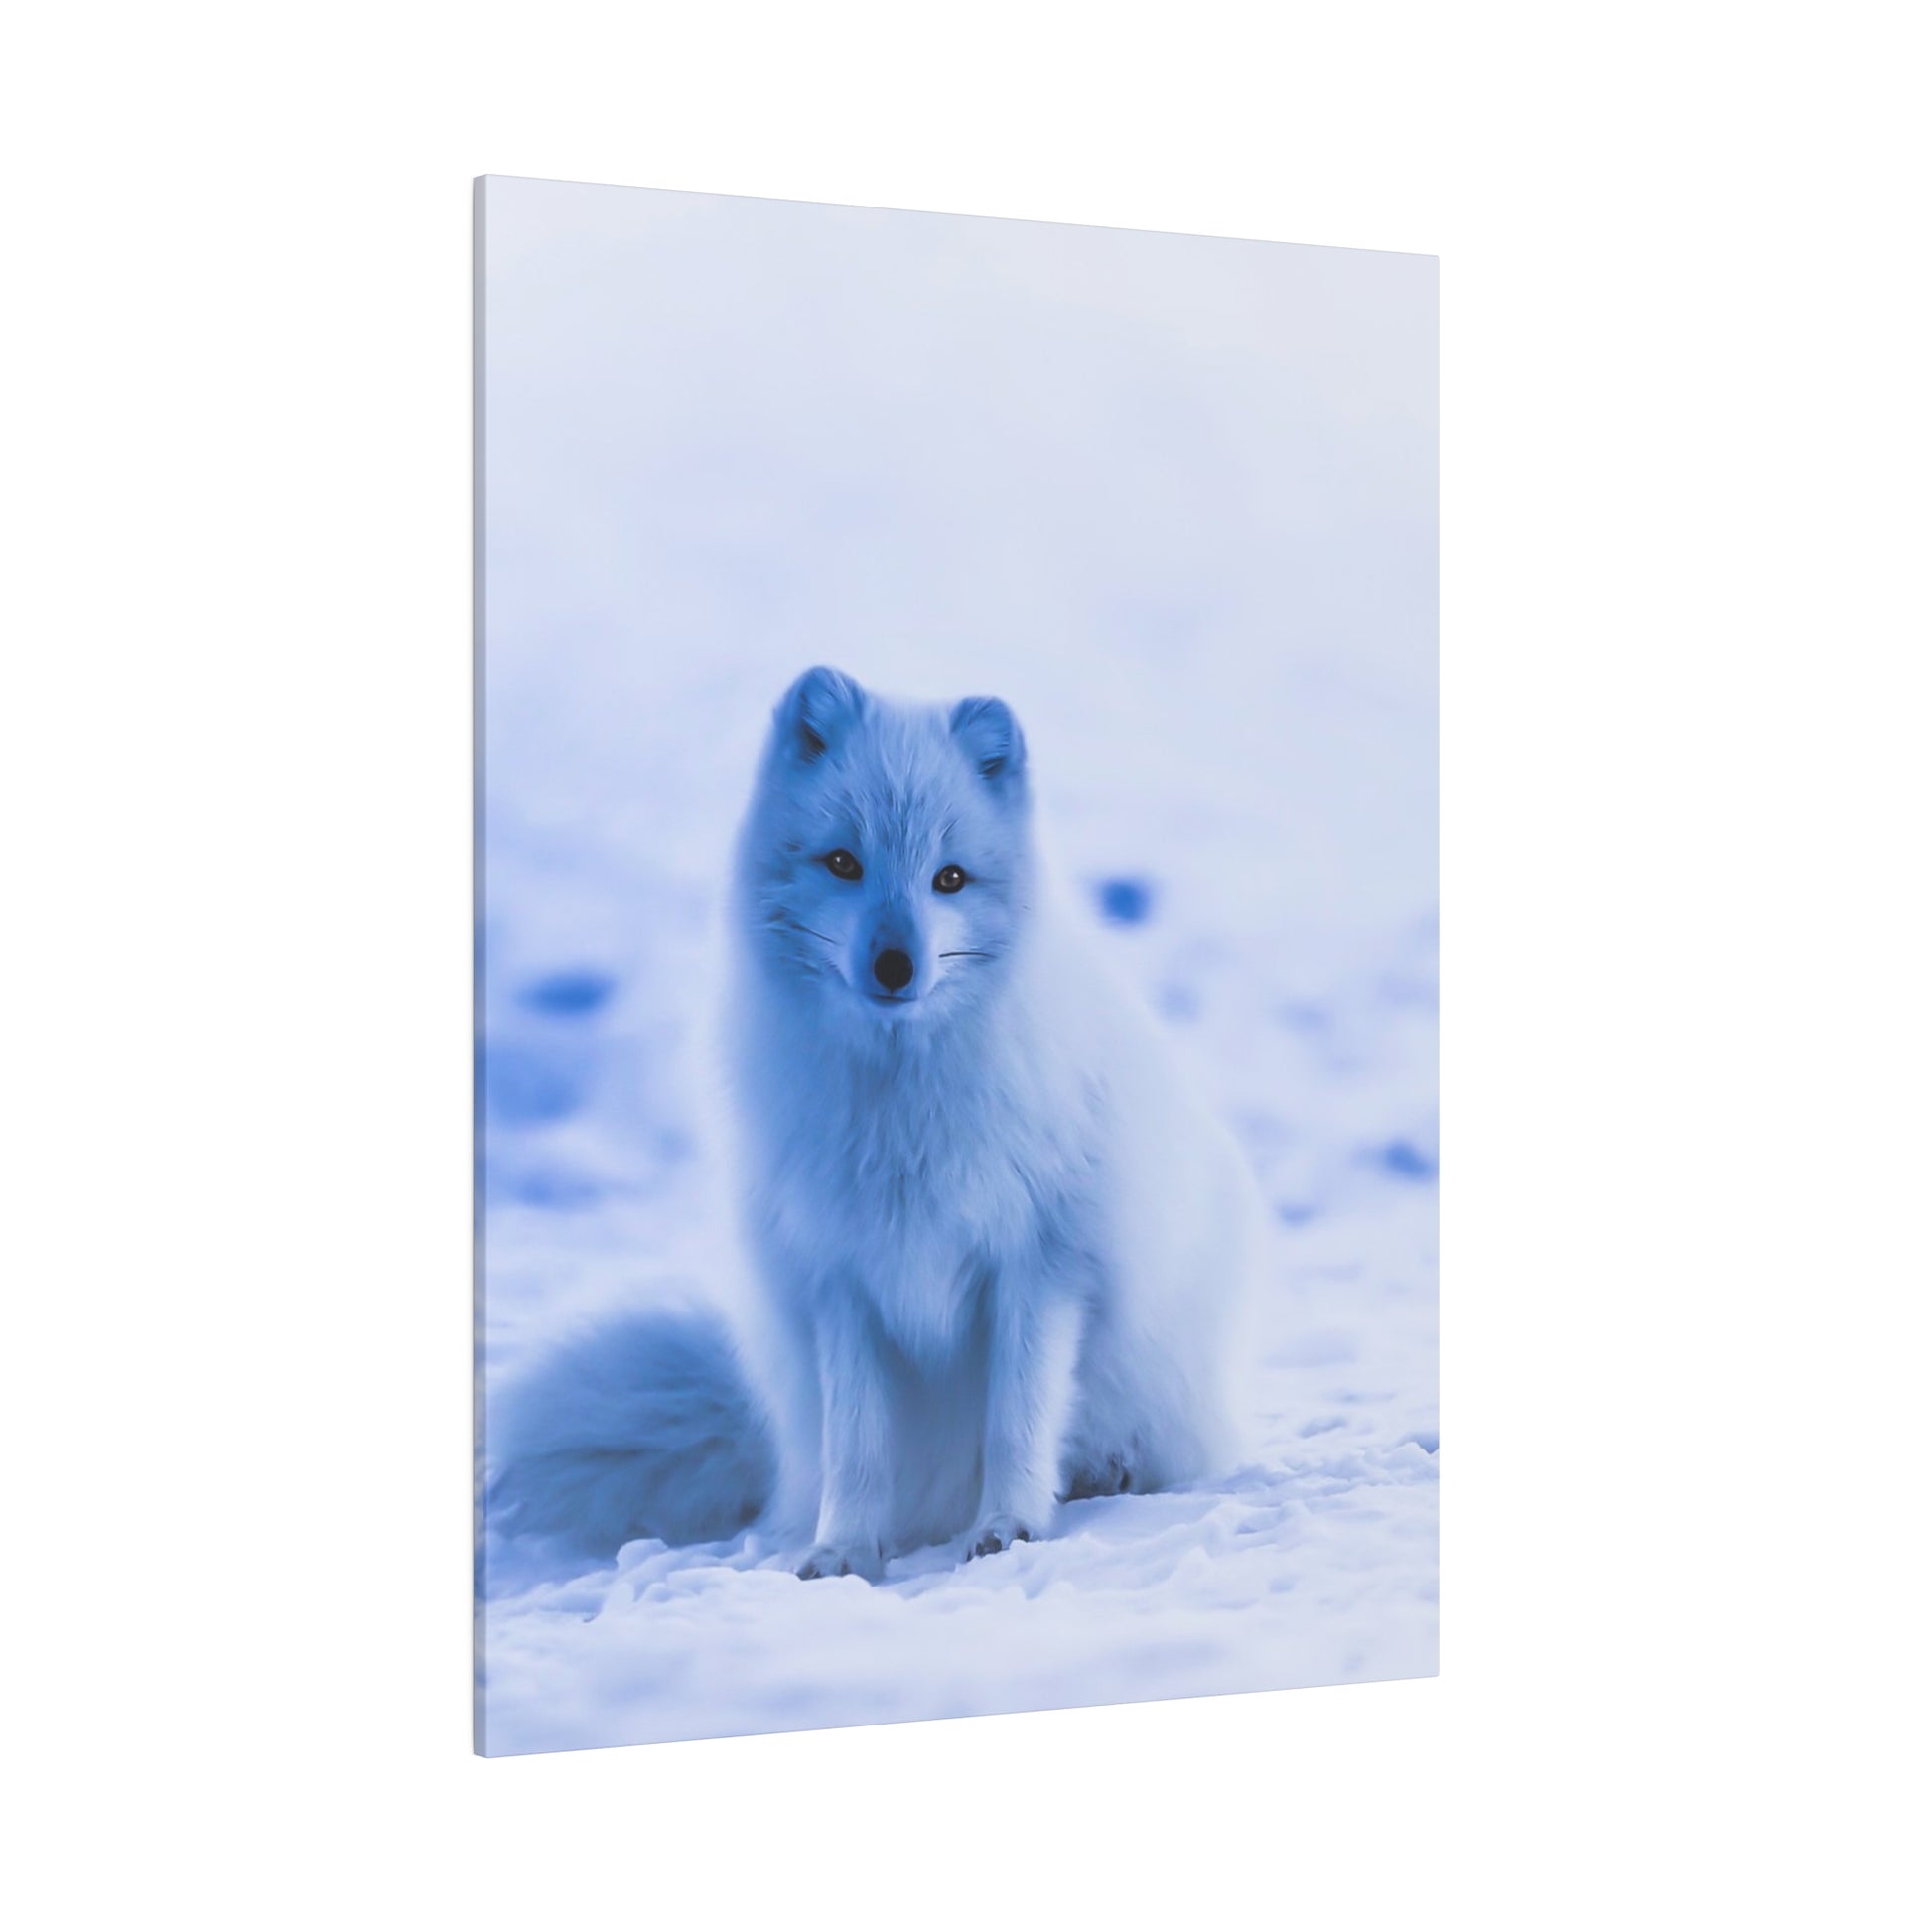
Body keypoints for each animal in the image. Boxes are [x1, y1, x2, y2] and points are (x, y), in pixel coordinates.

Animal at [490, 672, 1259, 1576]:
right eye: (843, 862)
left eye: (950, 878)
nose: (896, 963)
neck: (902, 1110)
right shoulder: (839, 1278)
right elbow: (857, 1445)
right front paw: (845, 1551)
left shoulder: (1041, 1265)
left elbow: (1018, 1419)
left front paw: (1009, 1527)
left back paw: (1108, 1472)